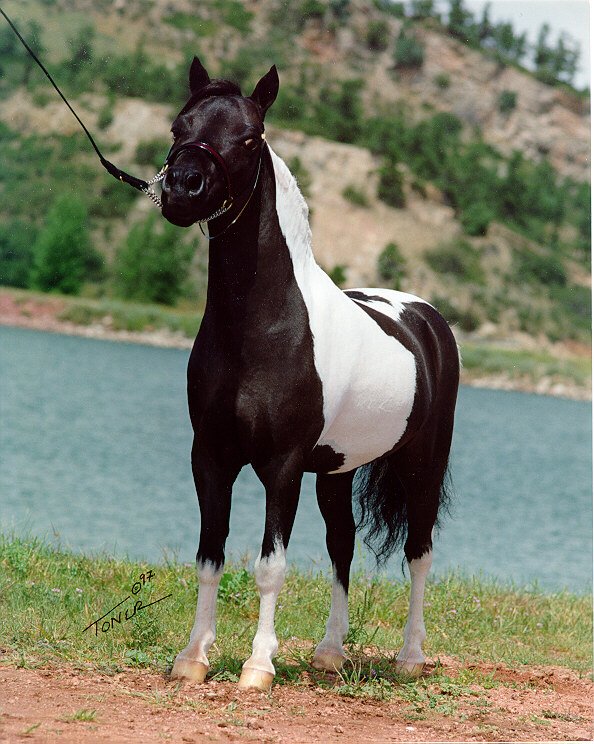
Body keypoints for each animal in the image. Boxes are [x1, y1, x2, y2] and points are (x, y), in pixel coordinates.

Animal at [160, 58, 460, 691]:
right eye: (179, 126)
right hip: (336, 472)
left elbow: (270, 565)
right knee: (342, 546)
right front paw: (194, 657)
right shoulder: (211, 456)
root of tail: (426, 318)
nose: (182, 188)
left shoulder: (282, 466)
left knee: (419, 552)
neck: (262, 326)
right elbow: (209, 555)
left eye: (250, 137)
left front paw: (257, 667)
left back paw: (410, 657)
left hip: (422, 463)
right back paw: (330, 651)